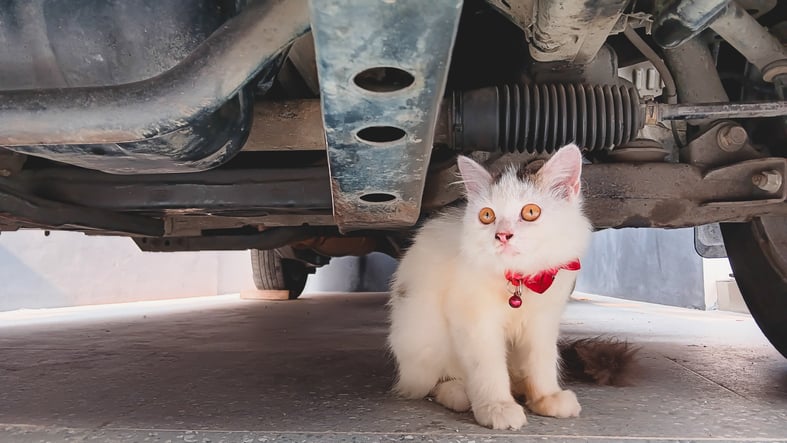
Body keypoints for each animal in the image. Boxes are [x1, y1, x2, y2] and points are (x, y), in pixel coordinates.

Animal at [388, 145, 592, 430]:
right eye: (487, 216)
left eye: (530, 212)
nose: (502, 235)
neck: (519, 279)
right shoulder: (474, 320)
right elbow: (488, 367)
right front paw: (497, 407)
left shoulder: (543, 321)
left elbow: (541, 360)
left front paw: (545, 398)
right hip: (422, 332)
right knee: (432, 383)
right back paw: (460, 394)